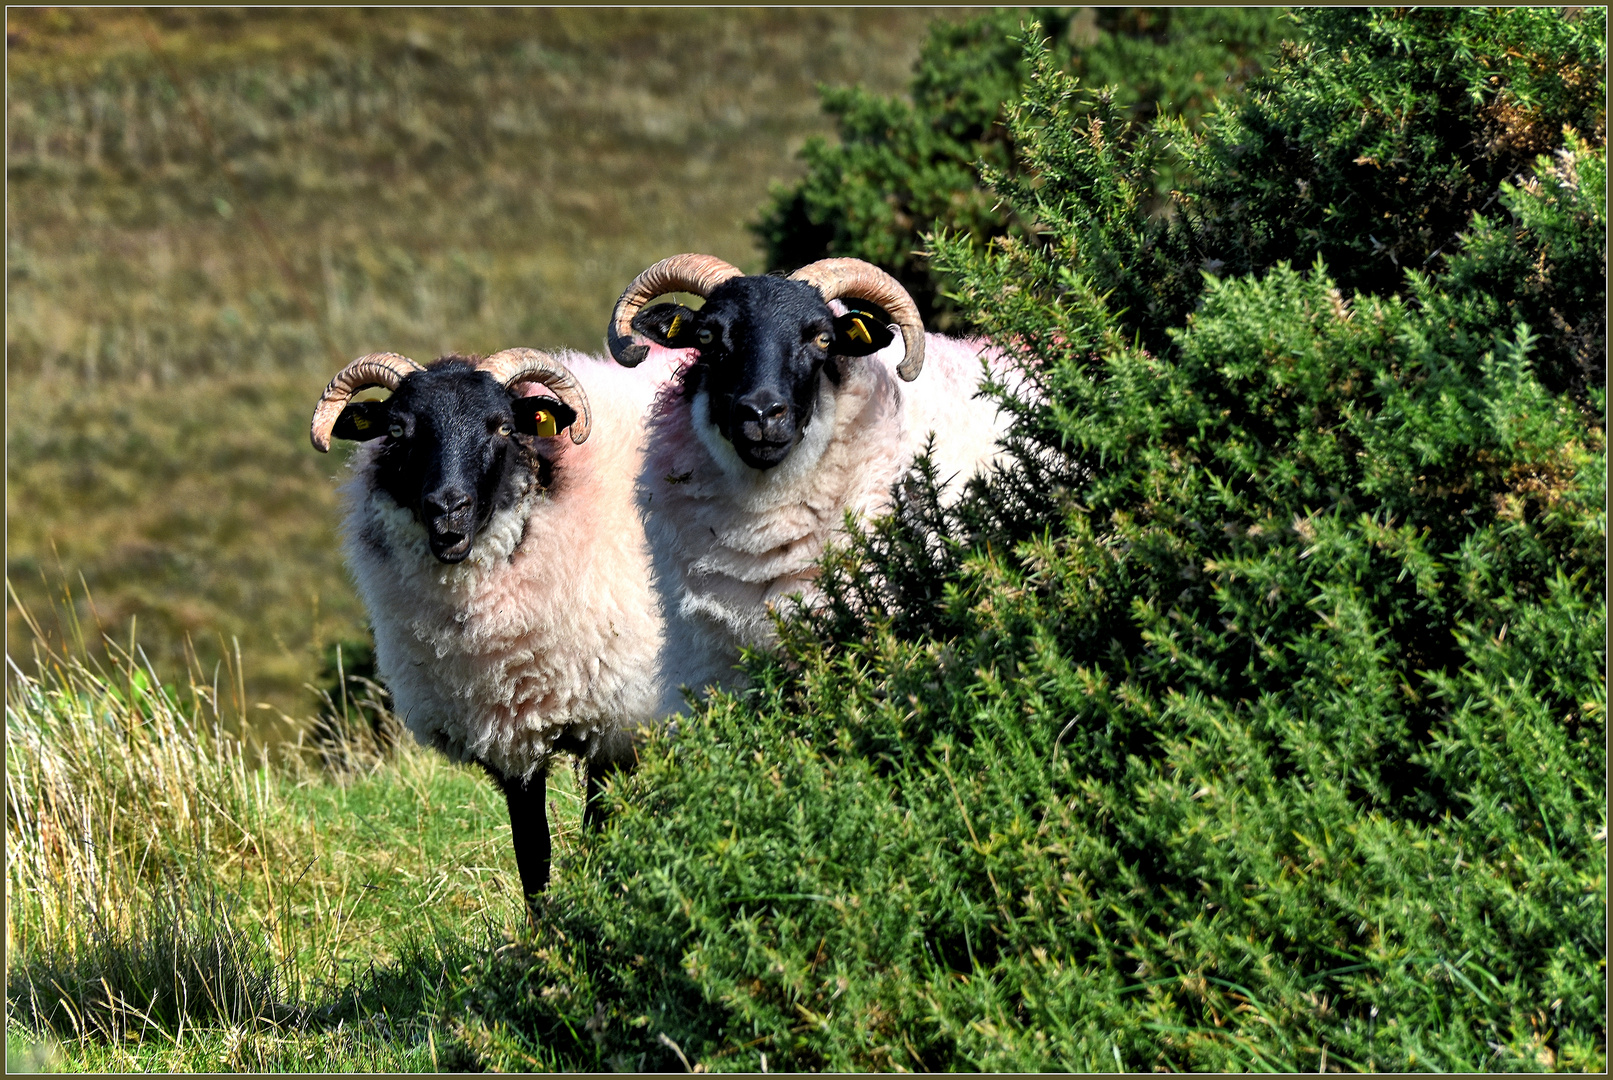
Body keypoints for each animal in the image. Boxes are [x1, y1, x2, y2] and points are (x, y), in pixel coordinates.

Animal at [309, 349, 693, 902]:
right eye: (398, 431)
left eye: (503, 427)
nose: (447, 511)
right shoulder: (510, 737)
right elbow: (532, 855)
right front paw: (541, 924)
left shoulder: (617, 719)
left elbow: (600, 831)